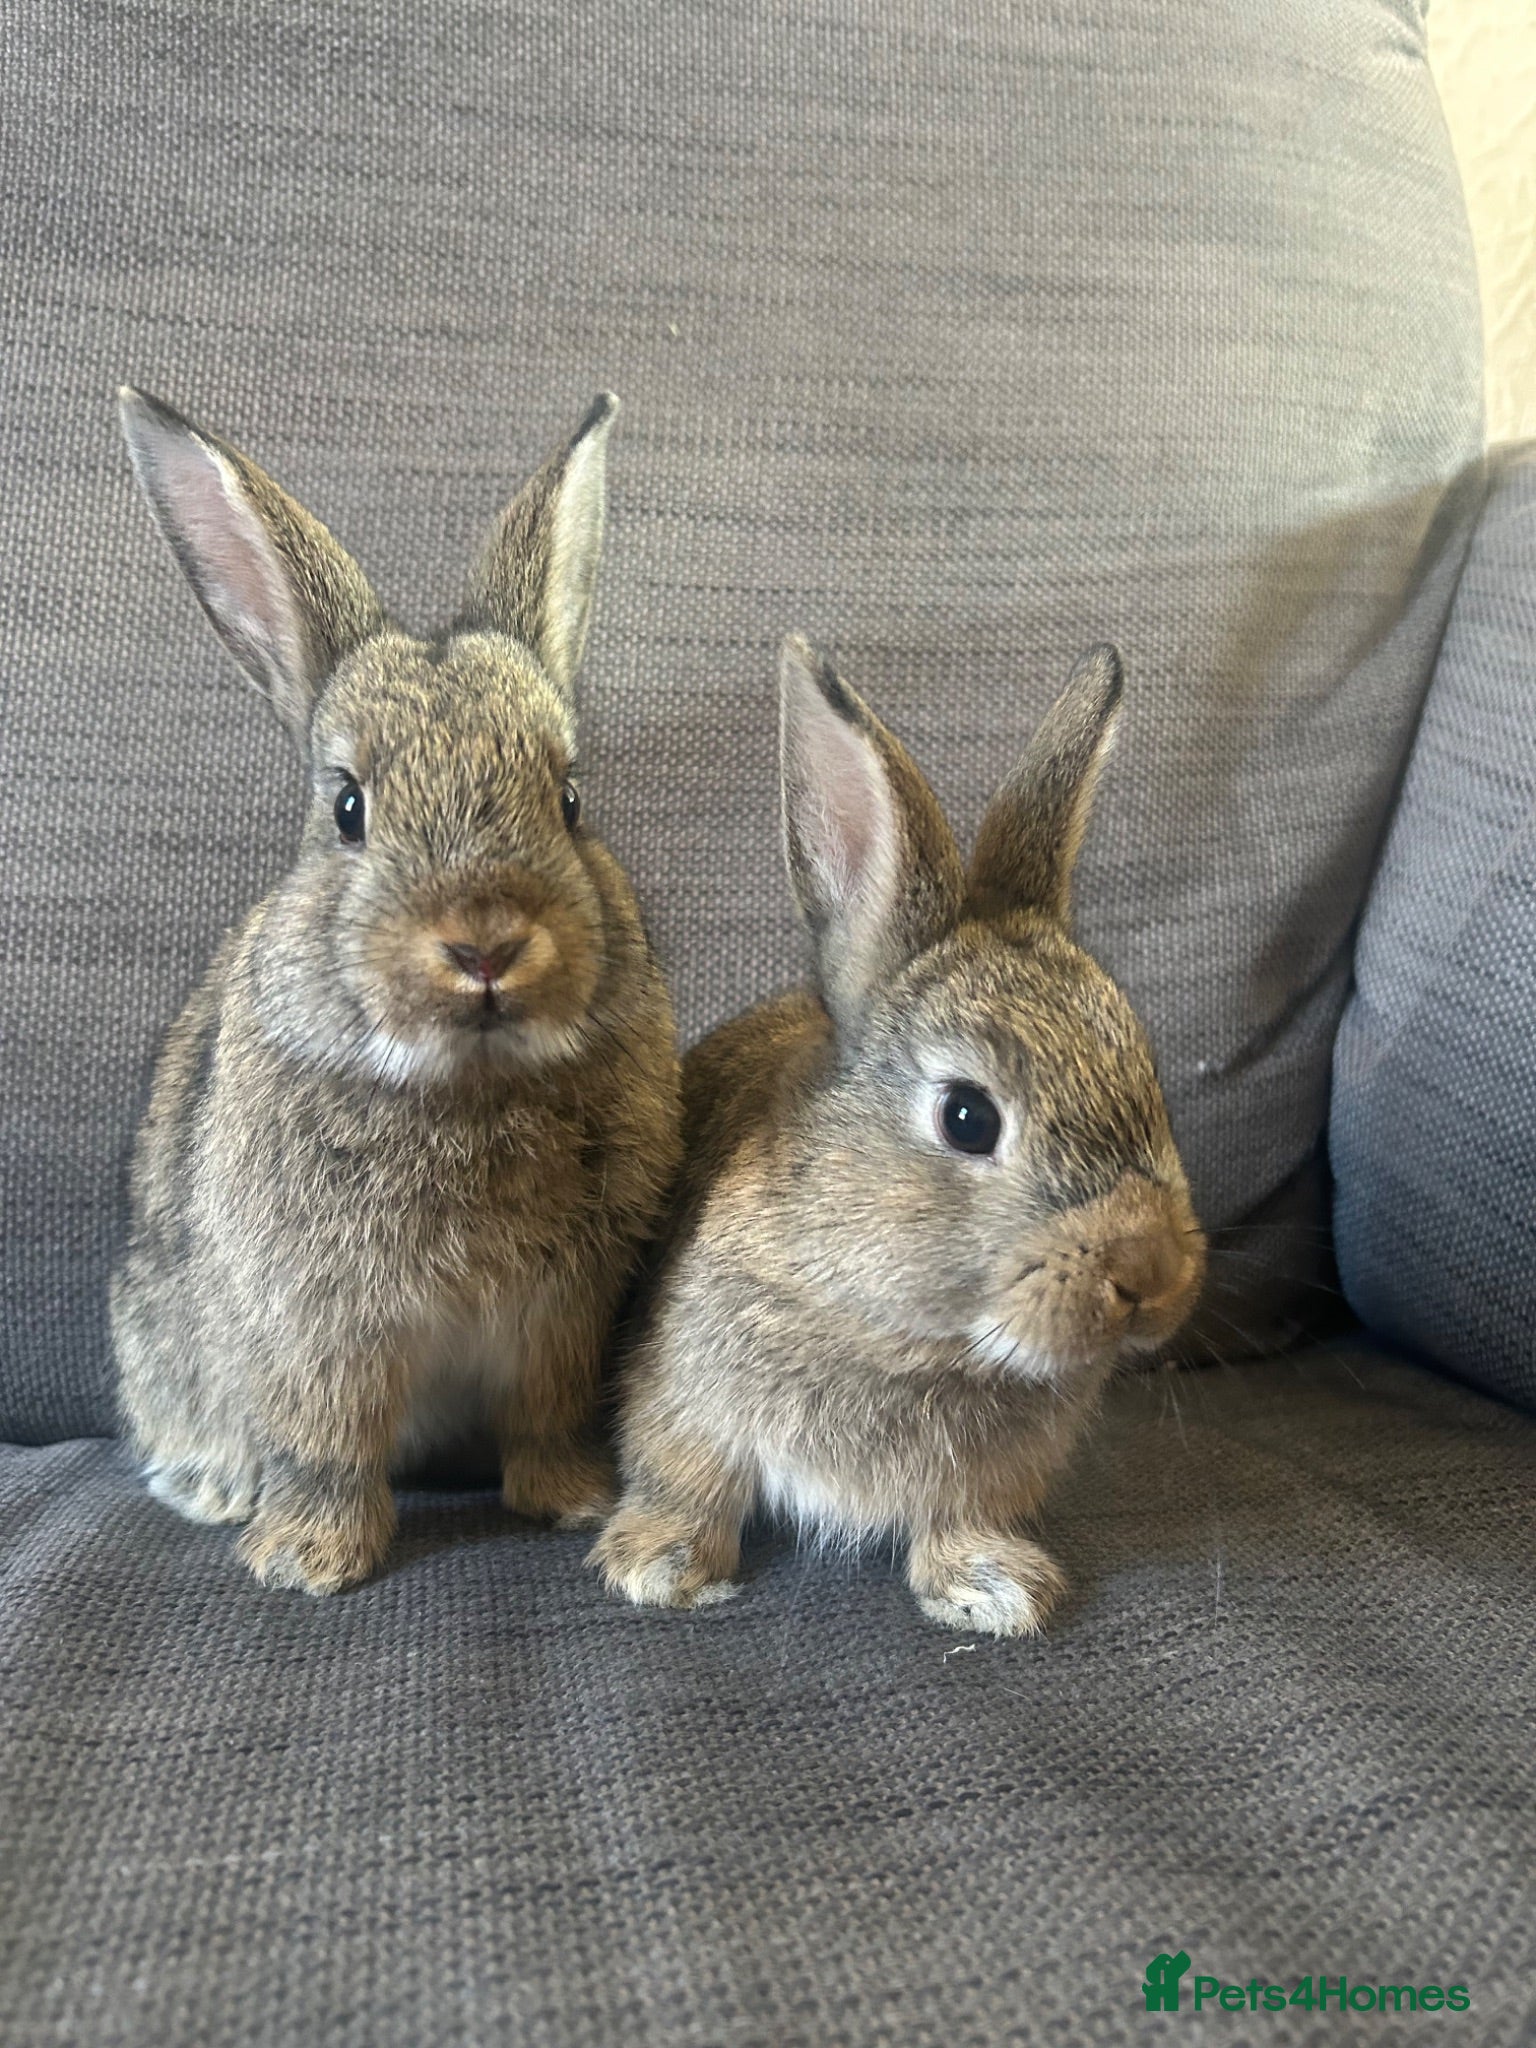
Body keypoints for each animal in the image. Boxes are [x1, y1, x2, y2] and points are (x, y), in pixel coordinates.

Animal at [110, 388, 681, 1594]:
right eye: (347, 809)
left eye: (569, 798)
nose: (485, 945)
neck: (468, 1079)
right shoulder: (317, 1314)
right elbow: (327, 1437)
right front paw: (306, 1559)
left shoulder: (562, 1310)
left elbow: (547, 1415)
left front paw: (571, 1502)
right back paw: (216, 1486)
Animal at [591, 635, 1204, 1636]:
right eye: (967, 1117)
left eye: (1145, 1069)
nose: (1151, 1274)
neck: (911, 1337)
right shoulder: (685, 1400)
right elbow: (690, 1481)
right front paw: (661, 1566)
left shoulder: (985, 1480)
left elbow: (959, 1520)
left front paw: (994, 1587)